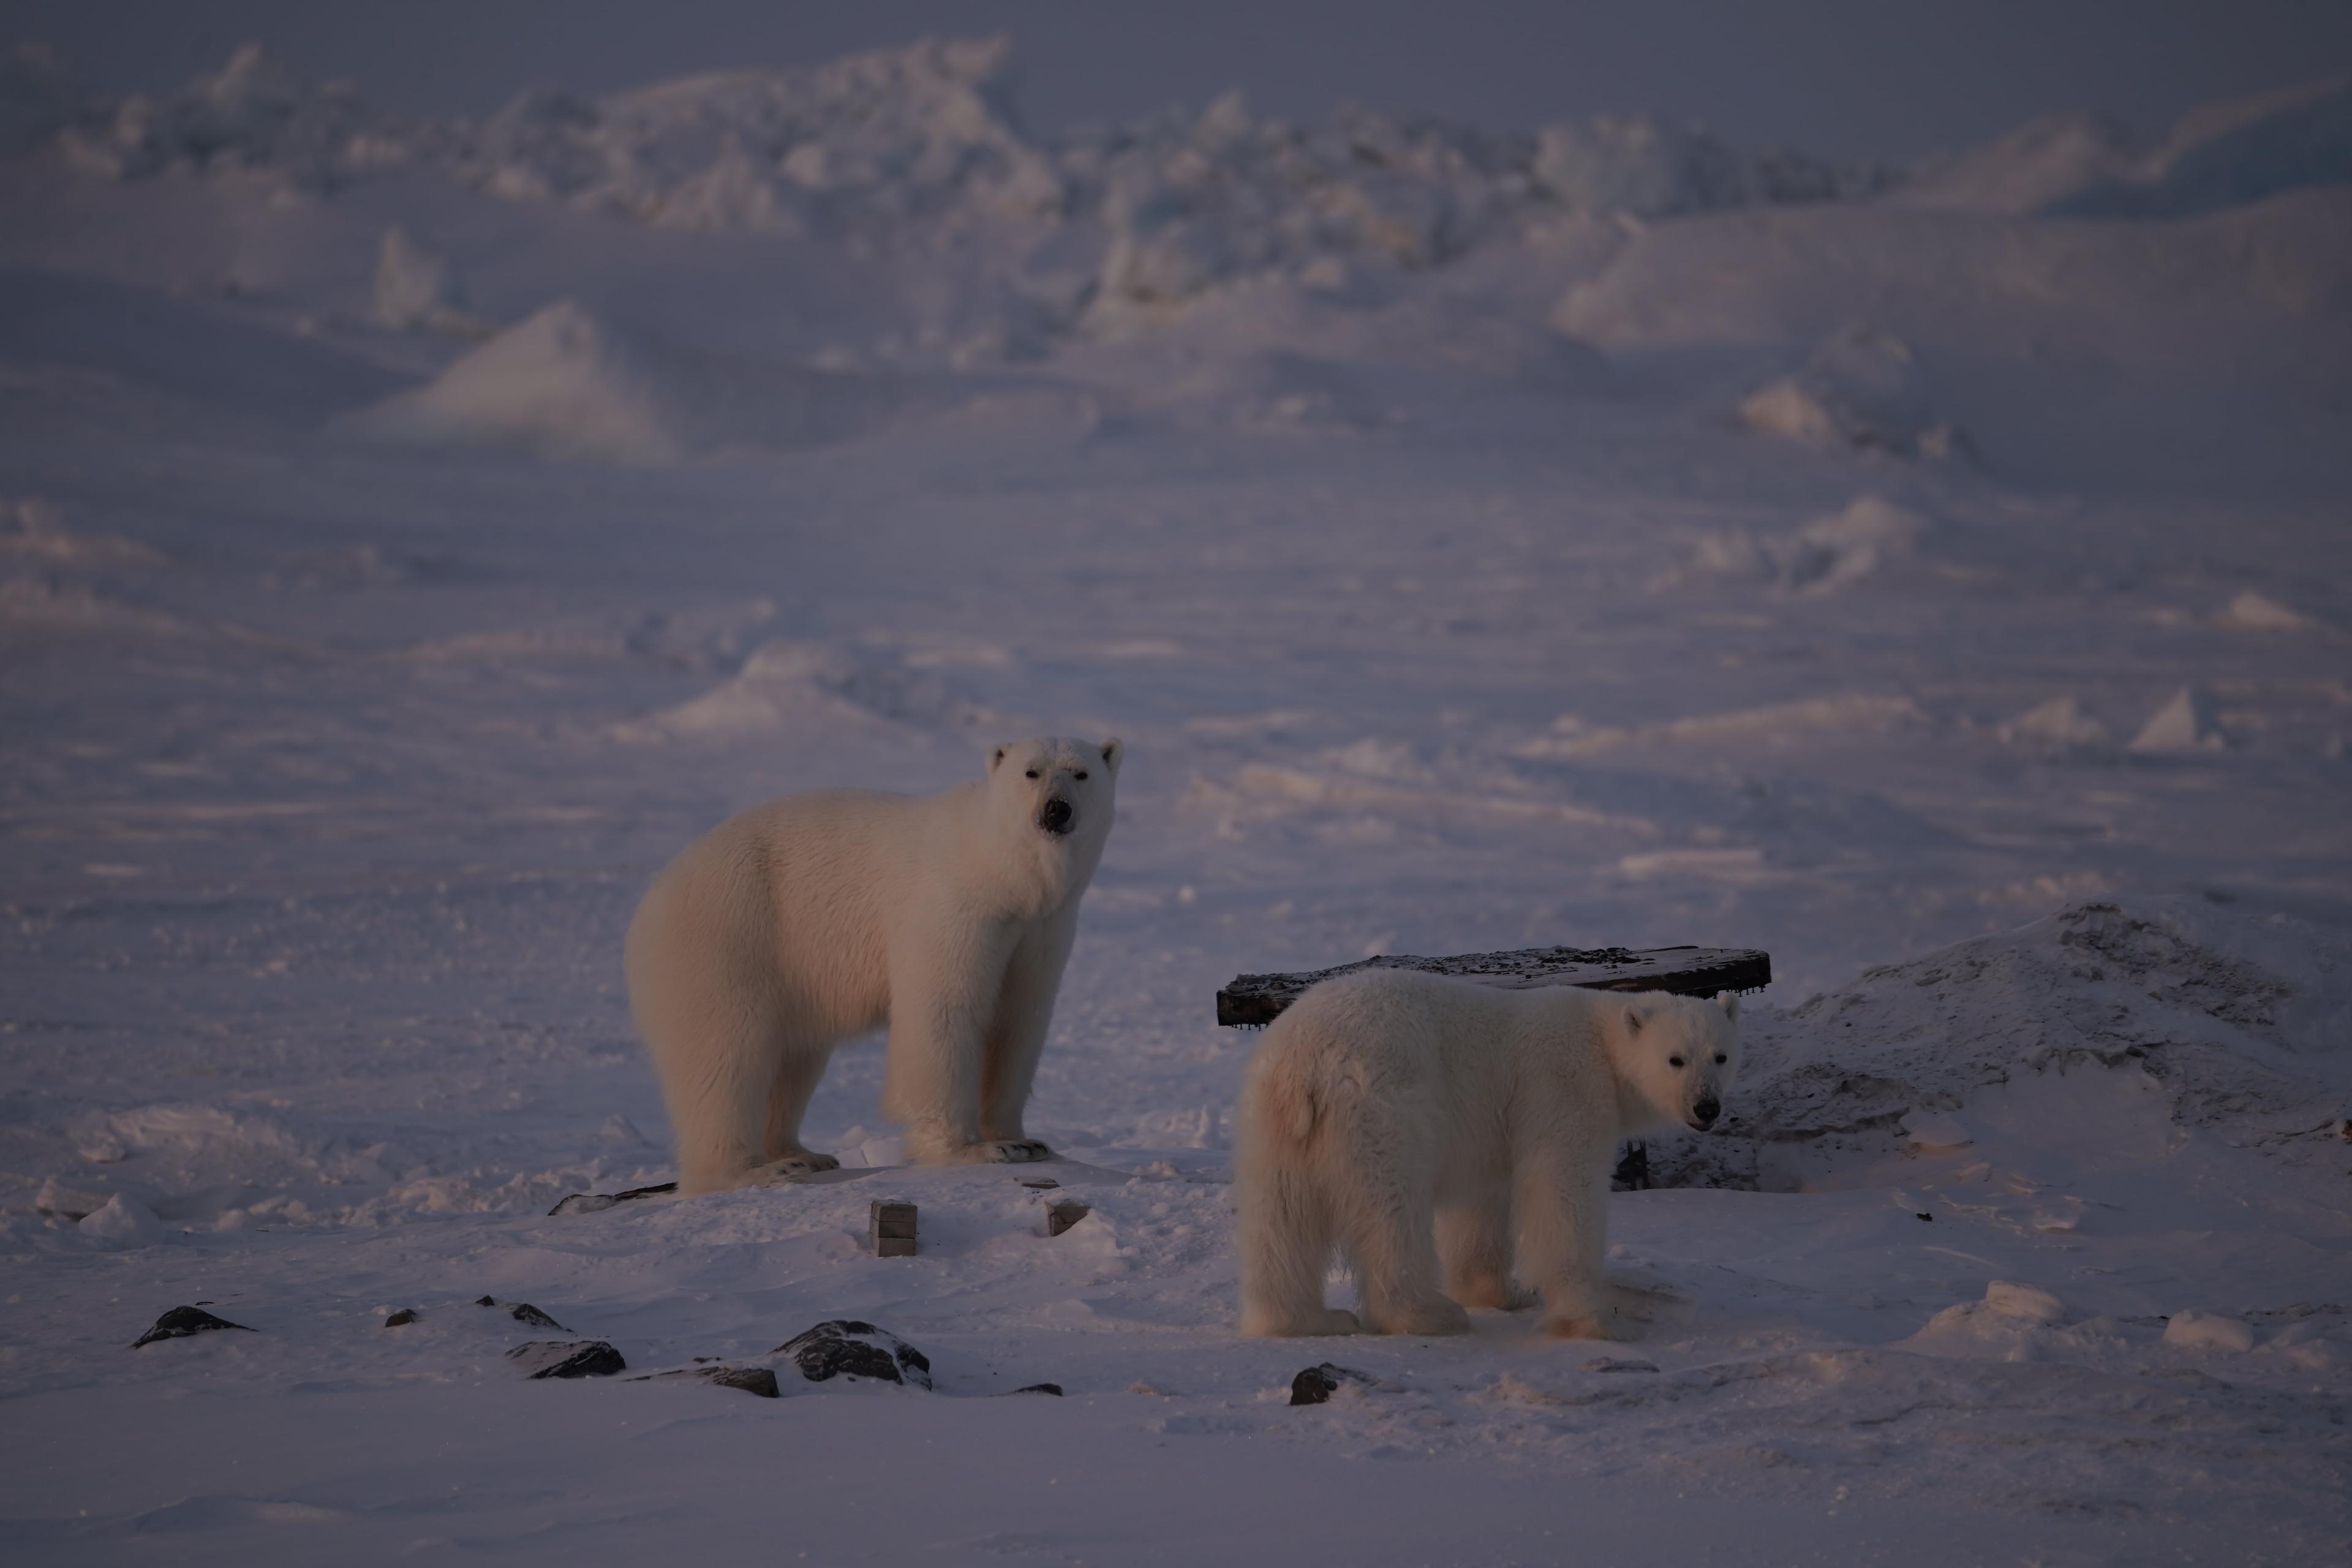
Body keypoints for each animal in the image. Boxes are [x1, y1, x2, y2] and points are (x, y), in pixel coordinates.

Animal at [625, 736, 1121, 1195]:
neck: (1000, 871)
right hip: (731, 935)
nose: (1056, 810)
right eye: (1031, 773)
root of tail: (649, 905)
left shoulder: (1041, 929)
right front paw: (973, 1149)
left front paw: (1023, 1141)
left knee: (793, 1058)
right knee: (726, 1051)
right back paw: (755, 1169)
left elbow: (1018, 1019)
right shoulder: (952, 906)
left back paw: (803, 1154)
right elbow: (944, 1010)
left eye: (1081, 774)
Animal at [1234, 969, 1739, 1339]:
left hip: (1274, 1126)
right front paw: (1592, 1319)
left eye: (1721, 1056)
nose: (1707, 1107)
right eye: (1675, 1059)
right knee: (1390, 1213)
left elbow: (1480, 1205)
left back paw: (1305, 1320)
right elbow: (1562, 1192)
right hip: (1382, 1107)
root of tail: (1306, 1063)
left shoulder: (1493, 1130)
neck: (1601, 1040)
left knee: (1282, 1217)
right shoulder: (1562, 1087)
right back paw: (1428, 1314)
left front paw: (1504, 1292)